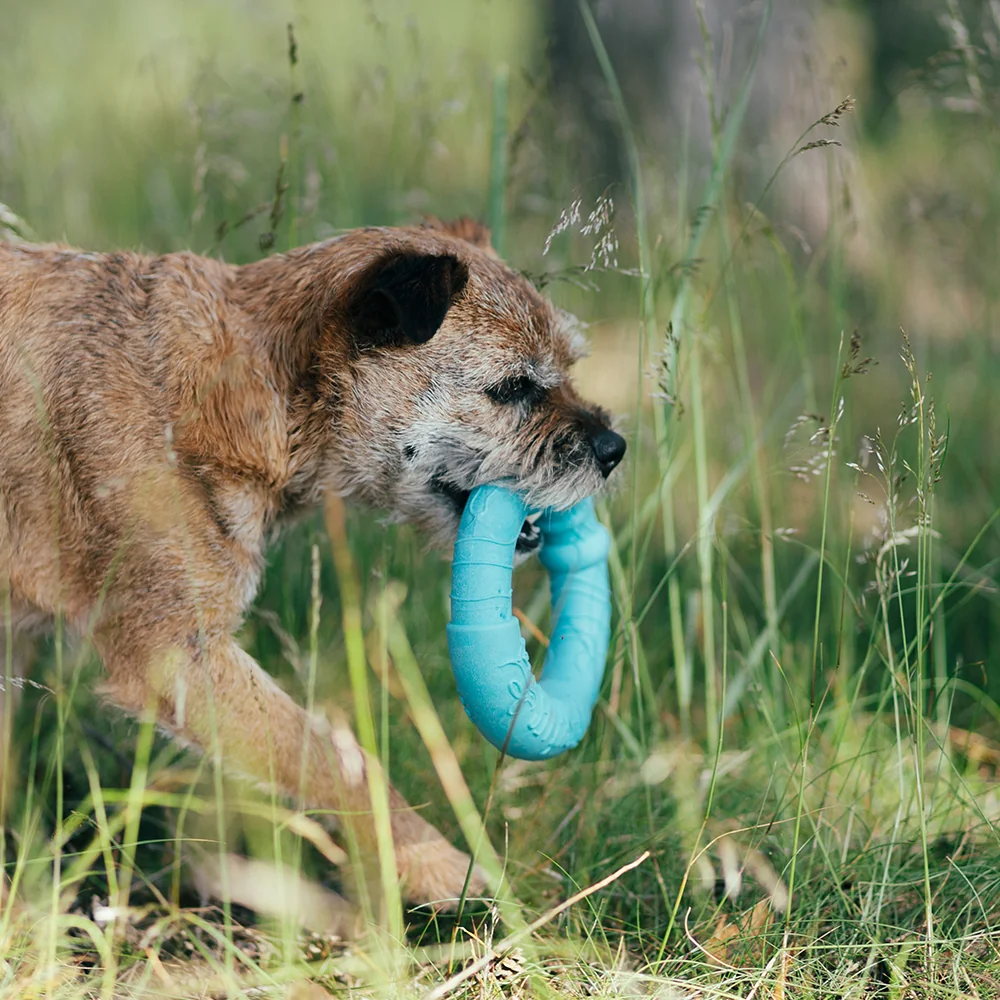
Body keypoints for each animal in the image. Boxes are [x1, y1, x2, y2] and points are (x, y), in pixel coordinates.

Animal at [0, 217, 624, 908]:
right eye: (513, 389)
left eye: (566, 370)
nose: (614, 447)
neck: (247, 390)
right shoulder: (179, 656)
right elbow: (338, 761)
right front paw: (440, 865)